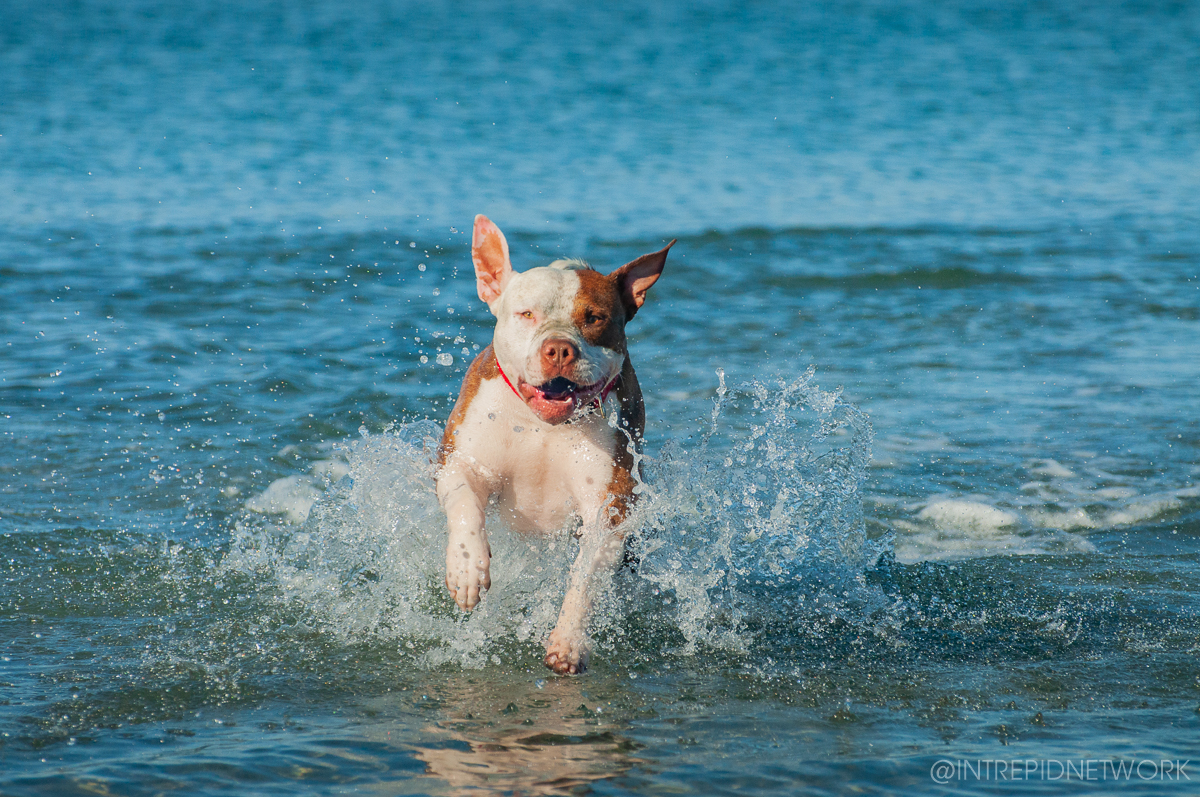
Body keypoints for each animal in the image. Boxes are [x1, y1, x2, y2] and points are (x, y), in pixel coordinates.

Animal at [436, 214, 676, 676]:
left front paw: (569, 641)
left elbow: (585, 577)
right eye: (526, 314)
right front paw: (468, 569)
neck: (543, 426)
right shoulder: (461, 461)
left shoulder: (610, 507)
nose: (560, 349)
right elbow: (465, 506)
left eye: (595, 317)